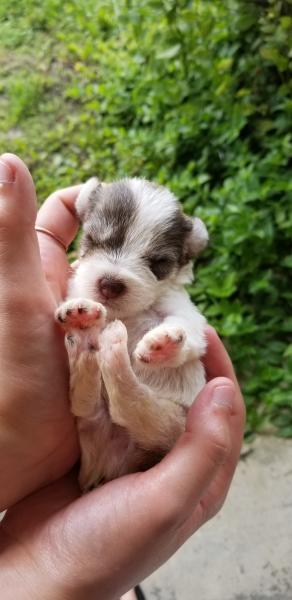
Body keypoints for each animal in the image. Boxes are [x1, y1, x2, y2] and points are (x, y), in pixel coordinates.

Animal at [56, 176, 209, 490]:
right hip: (95, 423)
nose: (110, 284)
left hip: (173, 422)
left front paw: (163, 344)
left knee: (128, 405)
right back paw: (85, 337)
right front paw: (78, 310)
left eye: (157, 263)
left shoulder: (185, 312)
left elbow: (186, 329)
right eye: (93, 240)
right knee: (86, 406)